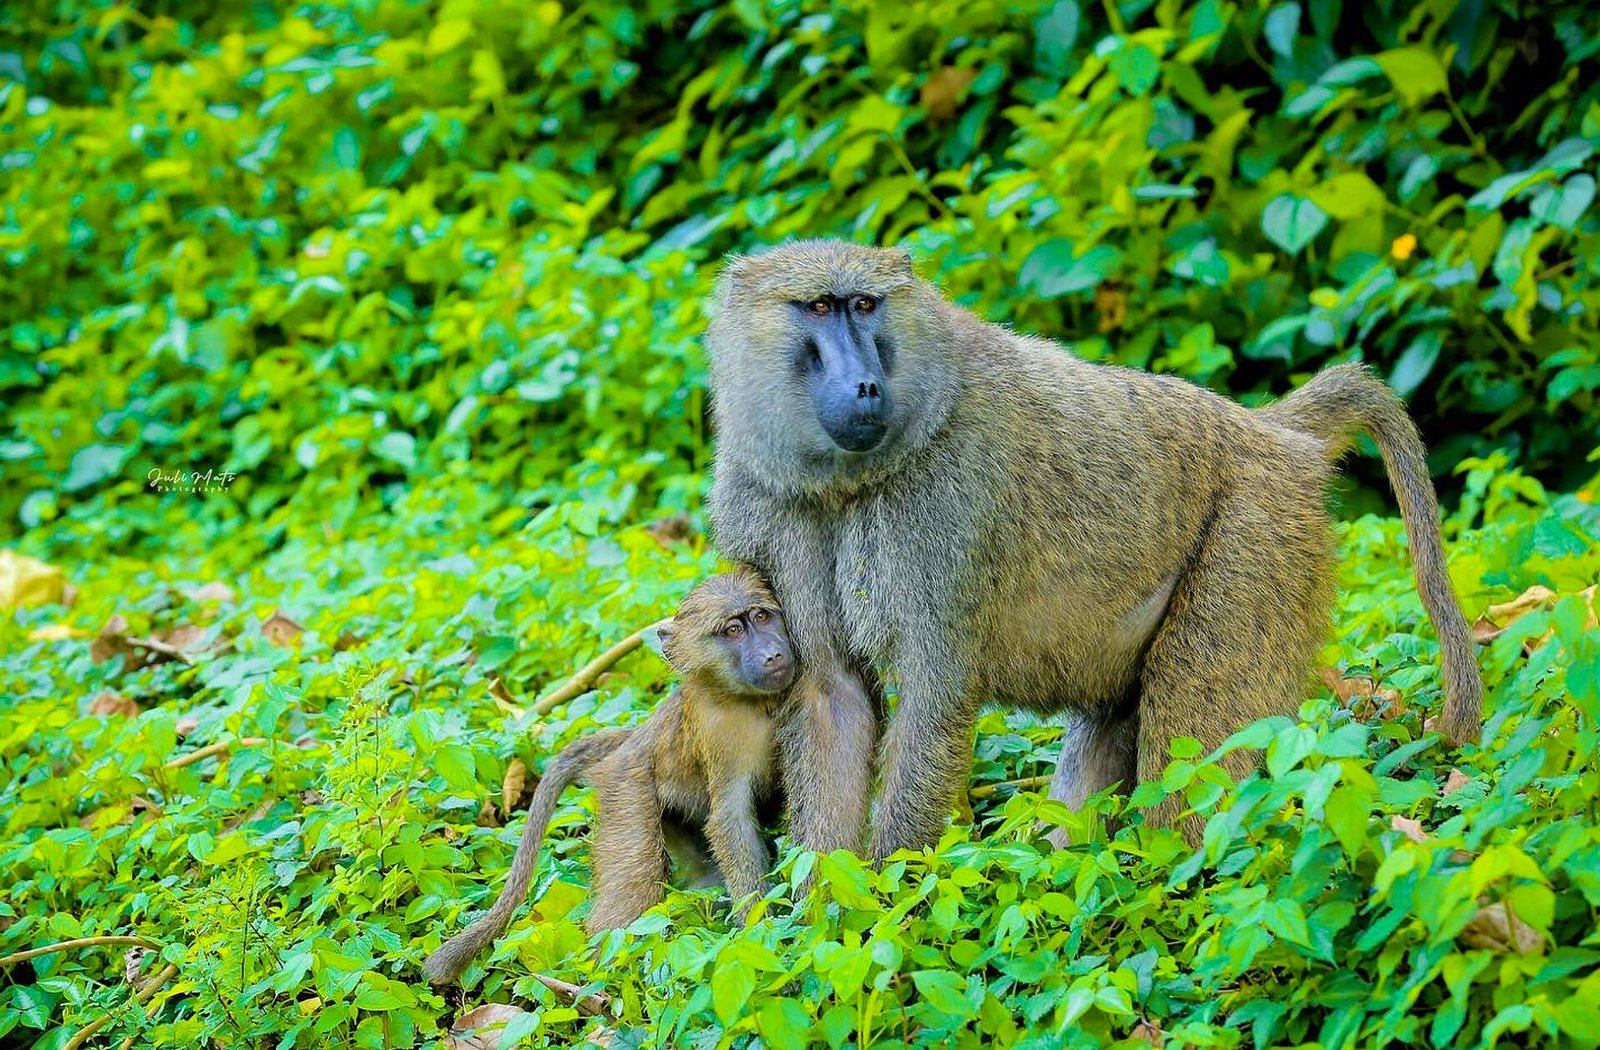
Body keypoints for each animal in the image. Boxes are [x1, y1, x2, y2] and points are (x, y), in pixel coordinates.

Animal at [420, 567, 795, 985]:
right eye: (733, 629)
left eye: (761, 616)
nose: (772, 654)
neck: (750, 701)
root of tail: (633, 740)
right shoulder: (719, 732)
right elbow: (731, 822)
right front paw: (760, 930)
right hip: (628, 788)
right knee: (634, 885)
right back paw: (606, 977)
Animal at [702, 239, 1481, 858]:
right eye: (818, 308)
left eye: (864, 304)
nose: (865, 386)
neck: (848, 480)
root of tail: (1271, 432)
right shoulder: (769, 505)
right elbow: (830, 696)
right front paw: (824, 926)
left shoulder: (947, 512)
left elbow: (934, 693)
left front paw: (895, 906)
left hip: (1260, 530)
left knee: (1189, 785)